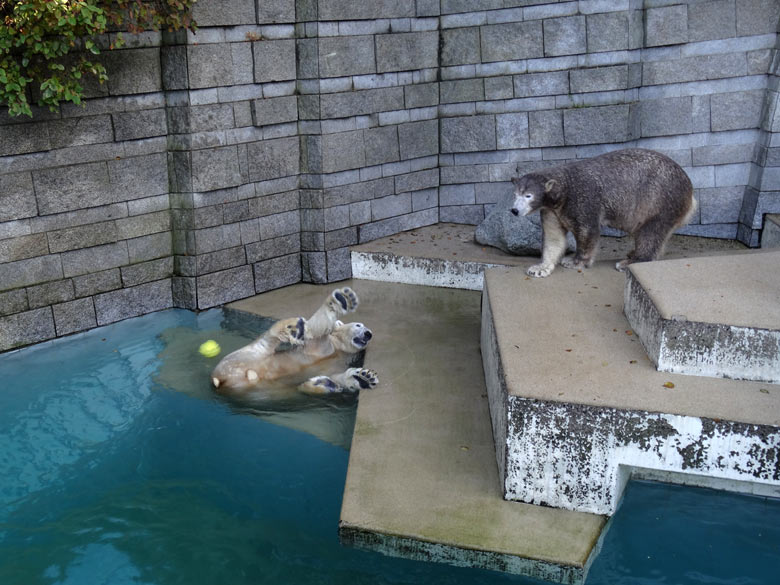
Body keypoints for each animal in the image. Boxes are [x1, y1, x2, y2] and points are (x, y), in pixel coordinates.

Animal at [209, 286, 376, 400]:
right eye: (359, 325)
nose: (369, 334)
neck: (338, 349)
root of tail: (222, 380)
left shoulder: (338, 361)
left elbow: (337, 376)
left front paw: (363, 378)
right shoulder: (321, 345)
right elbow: (318, 329)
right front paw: (341, 300)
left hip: (262, 391)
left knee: (290, 391)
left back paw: (322, 385)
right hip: (241, 357)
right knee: (263, 344)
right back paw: (291, 327)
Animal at [512, 148, 696, 276]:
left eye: (528, 195)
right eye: (516, 194)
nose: (514, 210)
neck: (563, 189)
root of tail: (691, 192)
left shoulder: (582, 198)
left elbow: (587, 231)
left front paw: (573, 261)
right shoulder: (551, 209)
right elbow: (554, 238)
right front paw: (539, 268)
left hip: (660, 199)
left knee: (651, 231)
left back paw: (629, 262)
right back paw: (631, 254)